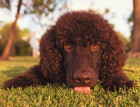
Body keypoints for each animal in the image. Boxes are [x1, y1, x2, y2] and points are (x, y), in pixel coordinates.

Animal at [2, 11, 133, 94]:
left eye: (95, 46)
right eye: (68, 46)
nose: (82, 79)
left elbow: (114, 75)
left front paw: (122, 83)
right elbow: (33, 74)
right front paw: (16, 82)